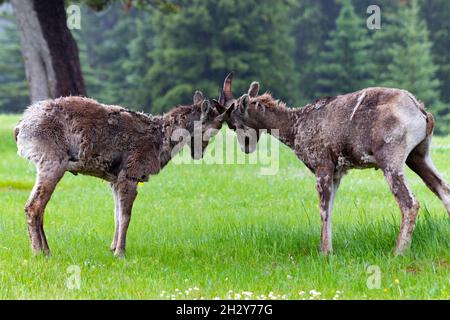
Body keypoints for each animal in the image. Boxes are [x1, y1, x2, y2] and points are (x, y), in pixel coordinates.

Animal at [14, 92, 225, 258]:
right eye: (215, 126)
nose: (199, 153)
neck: (161, 140)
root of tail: (20, 127)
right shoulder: (130, 175)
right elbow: (126, 216)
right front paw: (120, 253)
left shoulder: (114, 181)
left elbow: (116, 214)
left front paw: (112, 248)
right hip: (51, 163)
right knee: (33, 207)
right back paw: (38, 252)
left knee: (39, 208)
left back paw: (47, 251)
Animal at [221, 74, 450, 256]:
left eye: (234, 124)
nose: (246, 147)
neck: (295, 128)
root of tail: (420, 112)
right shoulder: (337, 173)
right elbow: (330, 210)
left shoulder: (322, 166)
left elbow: (323, 210)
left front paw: (325, 252)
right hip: (418, 156)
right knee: (443, 189)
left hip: (391, 161)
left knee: (410, 203)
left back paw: (398, 252)